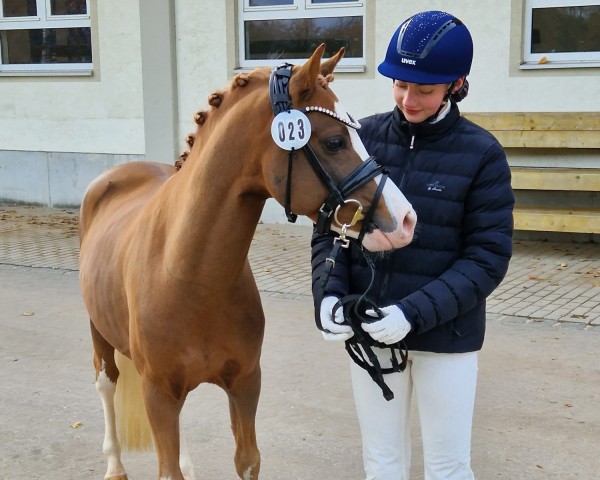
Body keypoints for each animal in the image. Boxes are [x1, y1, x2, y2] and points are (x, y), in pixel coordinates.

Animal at [79, 43, 414, 478]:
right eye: (335, 141)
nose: (405, 220)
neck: (190, 275)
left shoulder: (245, 383)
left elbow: (247, 459)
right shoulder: (158, 393)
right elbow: (166, 467)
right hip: (99, 334)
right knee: (106, 384)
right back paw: (115, 465)